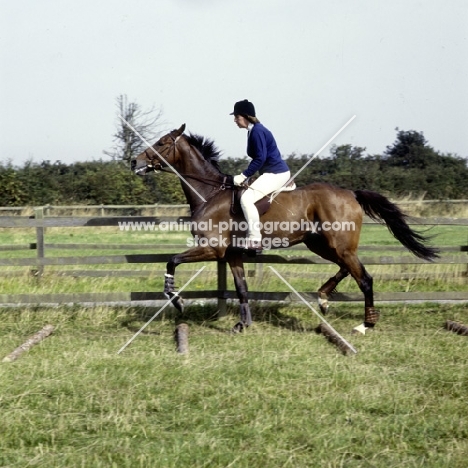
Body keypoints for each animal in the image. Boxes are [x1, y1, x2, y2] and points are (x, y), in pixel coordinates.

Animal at [132, 124, 438, 332]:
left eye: (162, 142)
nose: (135, 161)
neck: (209, 193)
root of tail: (350, 193)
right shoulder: (232, 255)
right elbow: (242, 289)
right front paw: (243, 325)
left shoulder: (213, 249)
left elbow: (172, 261)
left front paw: (177, 301)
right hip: (322, 244)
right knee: (345, 268)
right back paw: (323, 298)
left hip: (338, 245)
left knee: (364, 279)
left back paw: (365, 325)